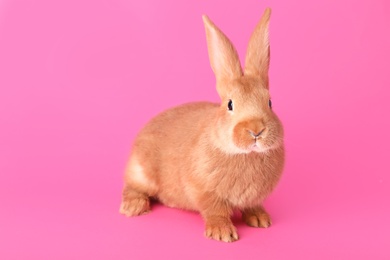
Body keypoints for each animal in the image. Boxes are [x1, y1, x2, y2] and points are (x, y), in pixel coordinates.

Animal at [119, 8, 284, 244]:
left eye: (270, 102)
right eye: (230, 104)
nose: (256, 130)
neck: (244, 153)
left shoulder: (253, 198)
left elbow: (252, 206)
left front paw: (261, 219)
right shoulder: (205, 192)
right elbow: (216, 212)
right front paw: (222, 233)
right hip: (142, 172)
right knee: (132, 186)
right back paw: (134, 207)